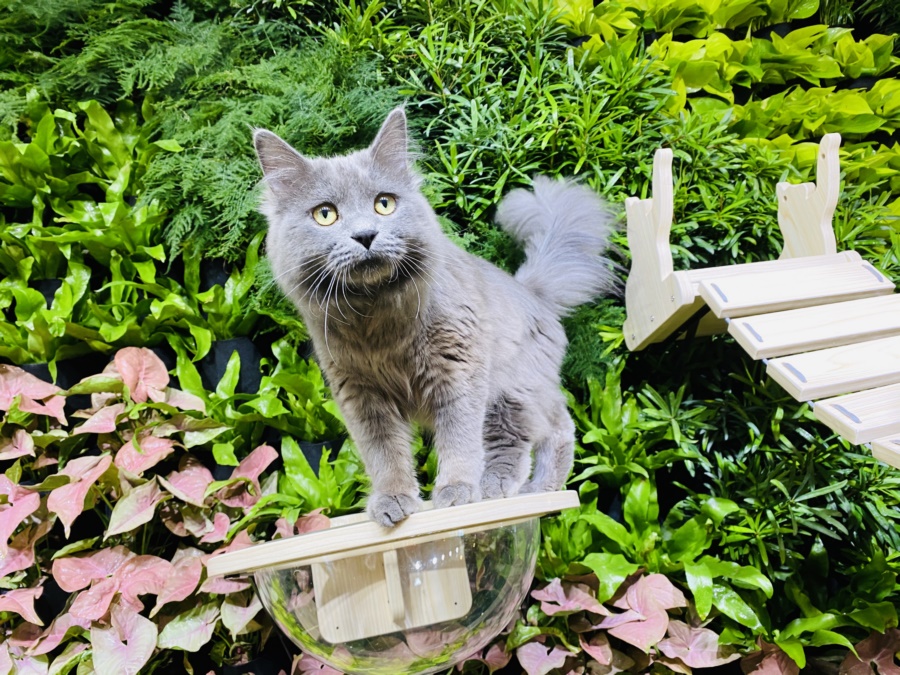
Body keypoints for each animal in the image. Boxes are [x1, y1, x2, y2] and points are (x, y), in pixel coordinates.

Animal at [256, 108, 616, 528]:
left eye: (384, 204)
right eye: (325, 214)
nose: (365, 235)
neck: (378, 321)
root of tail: (531, 291)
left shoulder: (458, 371)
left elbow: (459, 438)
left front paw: (455, 492)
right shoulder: (361, 395)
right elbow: (385, 454)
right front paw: (393, 501)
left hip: (511, 390)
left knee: (533, 435)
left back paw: (509, 489)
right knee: (556, 423)